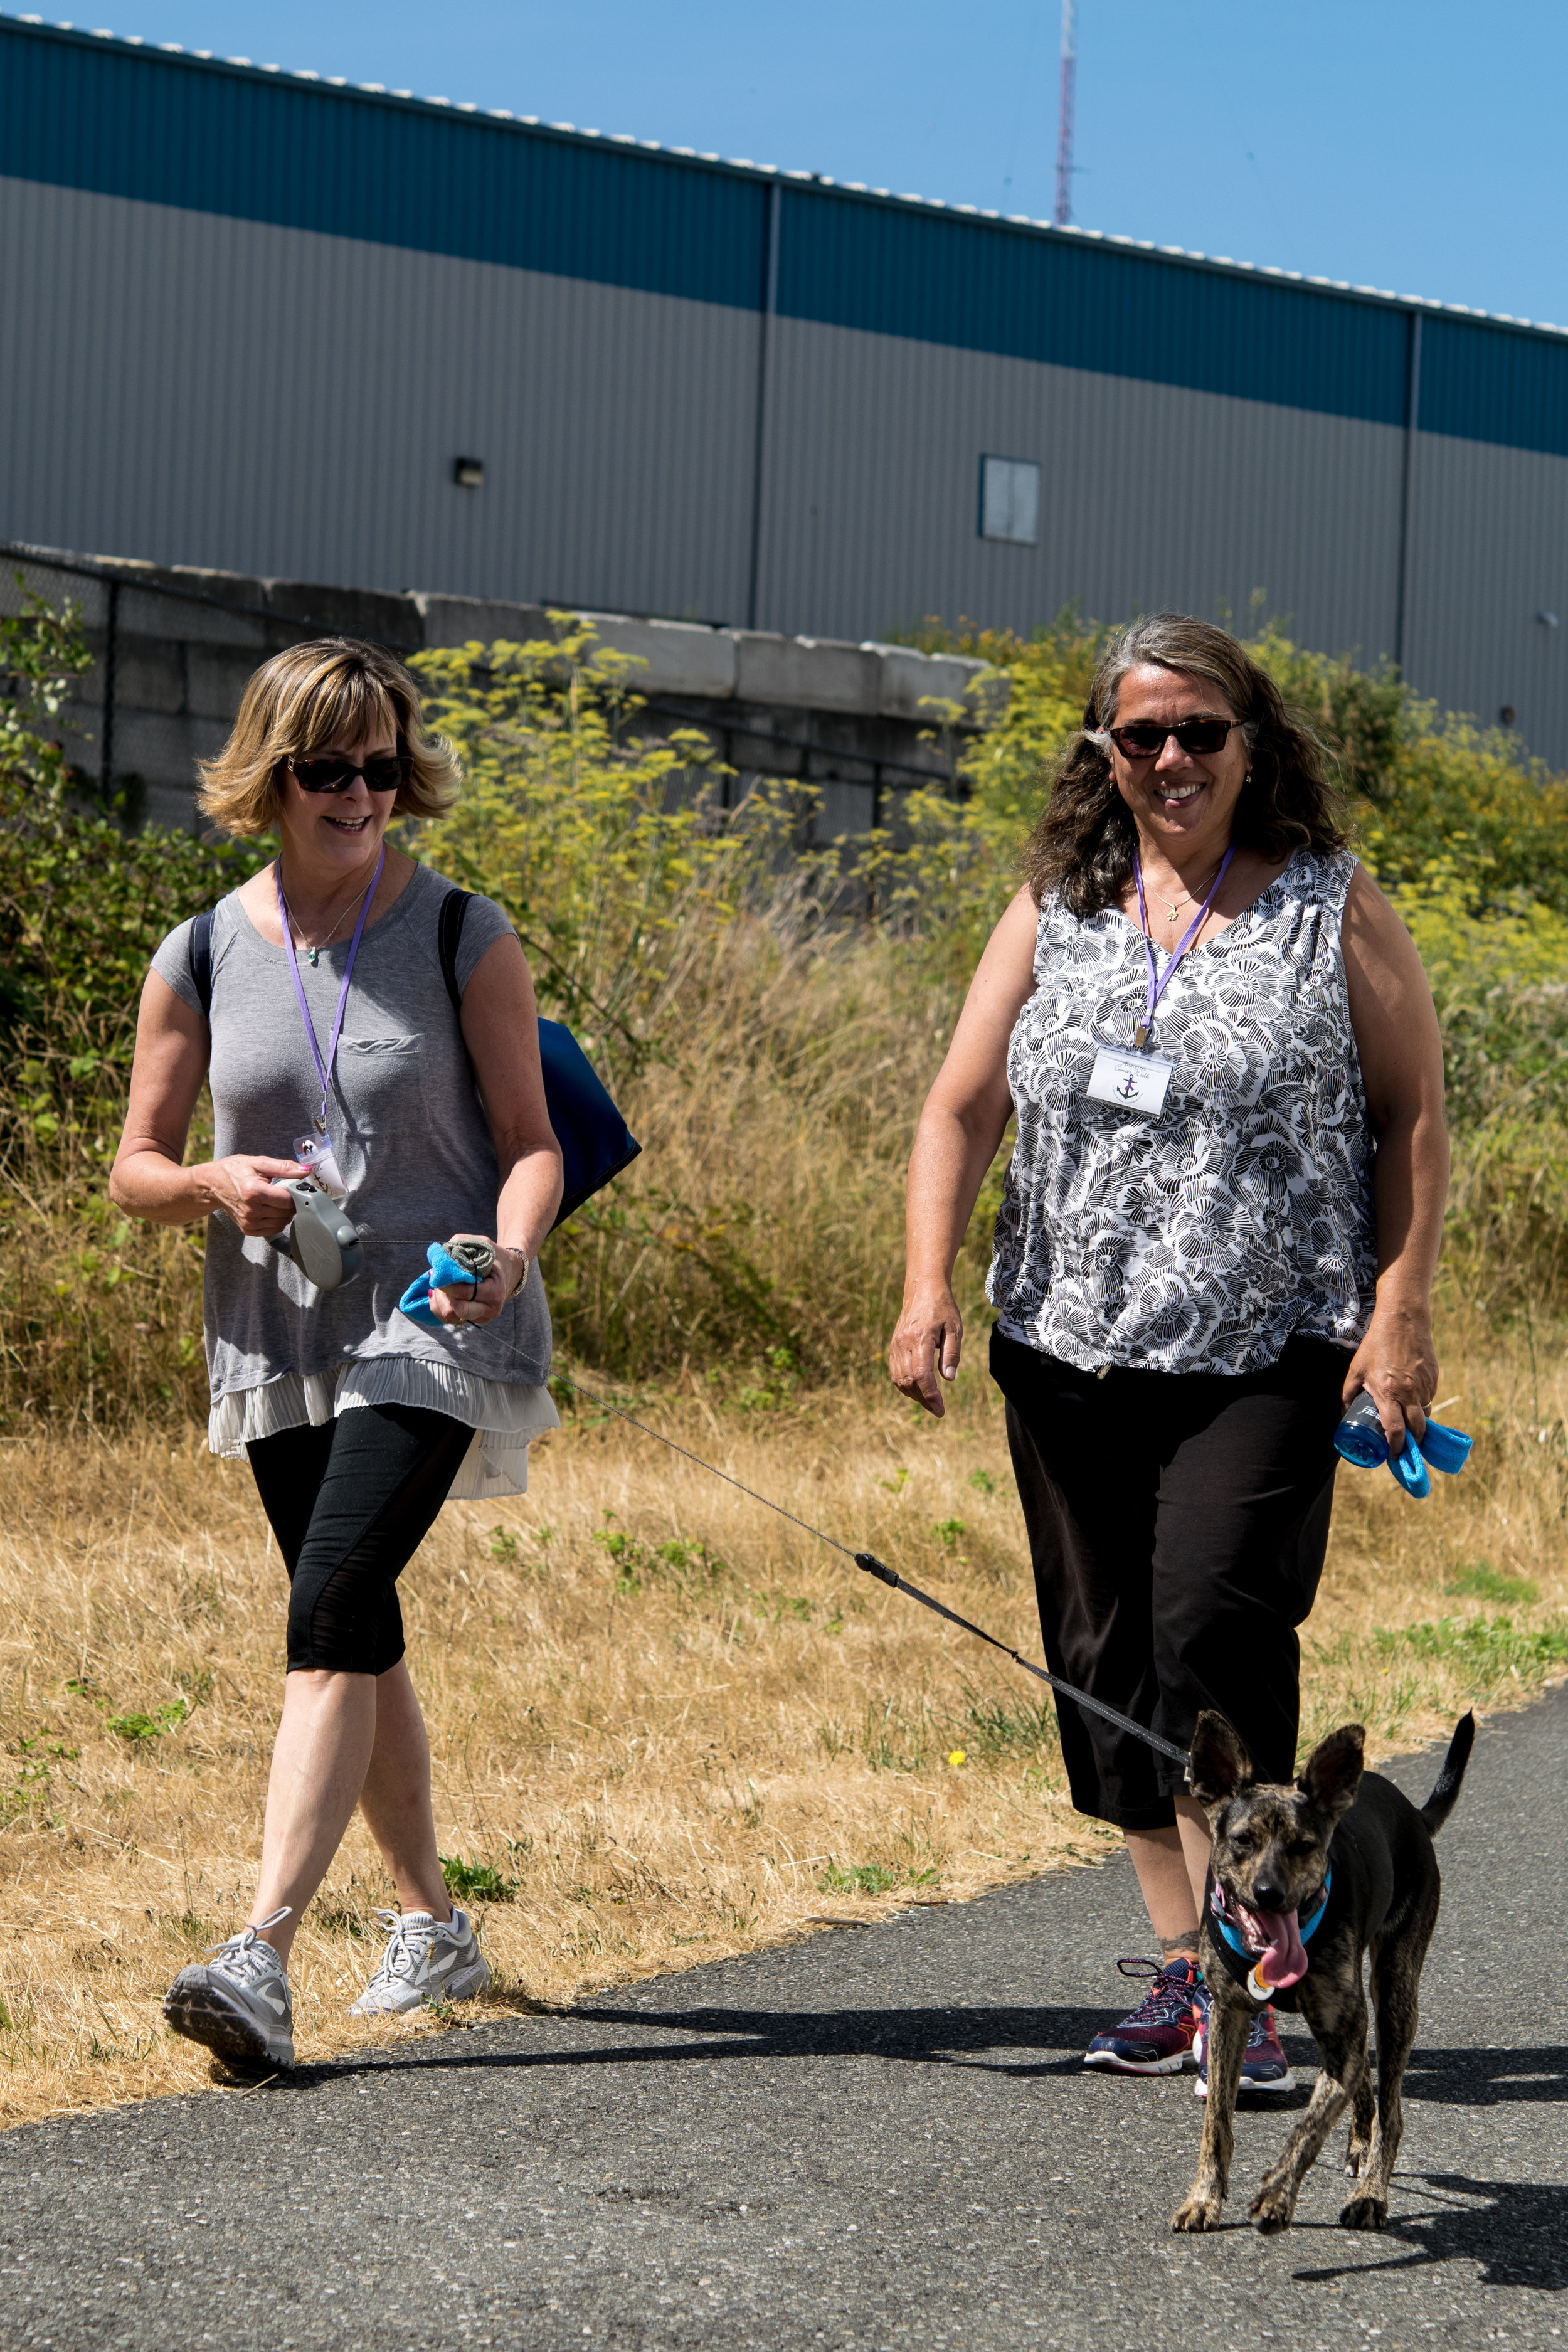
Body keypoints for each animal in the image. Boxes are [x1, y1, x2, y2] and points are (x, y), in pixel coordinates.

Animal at [1175, 1703, 1476, 2230]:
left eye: (1303, 1846)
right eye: (1242, 1841)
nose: (1269, 1893)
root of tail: (1414, 1816)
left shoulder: (1342, 2038)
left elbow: (1307, 2128)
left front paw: (1276, 2195)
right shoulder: (1230, 2017)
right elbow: (1217, 2125)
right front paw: (1204, 2198)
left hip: (1394, 1993)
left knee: (1392, 2110)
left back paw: (1371, 2193)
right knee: (1365, 2087)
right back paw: (1359, 2146)